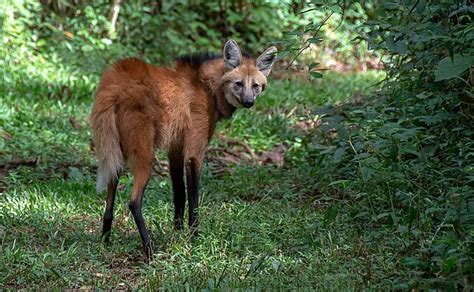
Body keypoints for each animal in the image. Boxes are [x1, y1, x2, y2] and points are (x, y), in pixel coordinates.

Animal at [90, 39, 276, 260]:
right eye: (238, 83)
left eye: (255, 86)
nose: (249, 102)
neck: (208, 87)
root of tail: (114, 82)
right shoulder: (194, 152)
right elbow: (193, 199)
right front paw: (194, 237)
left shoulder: (176, 149)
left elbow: (179, 194)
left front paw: (176, 233)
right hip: (144, 154)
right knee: (134, 202)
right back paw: (149, 250)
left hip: (116, 150)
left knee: (110, 196)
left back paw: (105, 240)